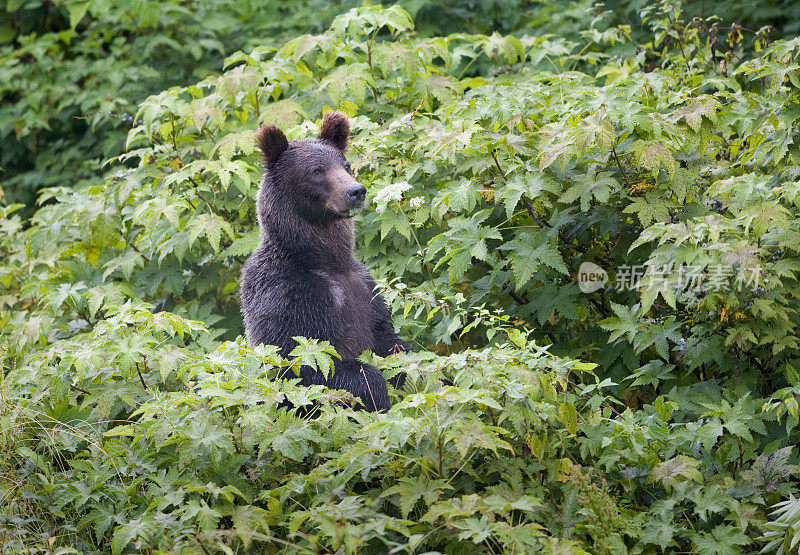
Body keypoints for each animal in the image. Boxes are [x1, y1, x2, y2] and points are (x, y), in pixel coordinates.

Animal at [239, 111, 410, 412]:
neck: (325, 259)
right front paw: (376, 391)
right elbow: (300, 365)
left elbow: (389, 342)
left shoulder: (366, 289)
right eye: (316, 171)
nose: (356, 191)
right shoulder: (289, 296)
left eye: (346, 165)